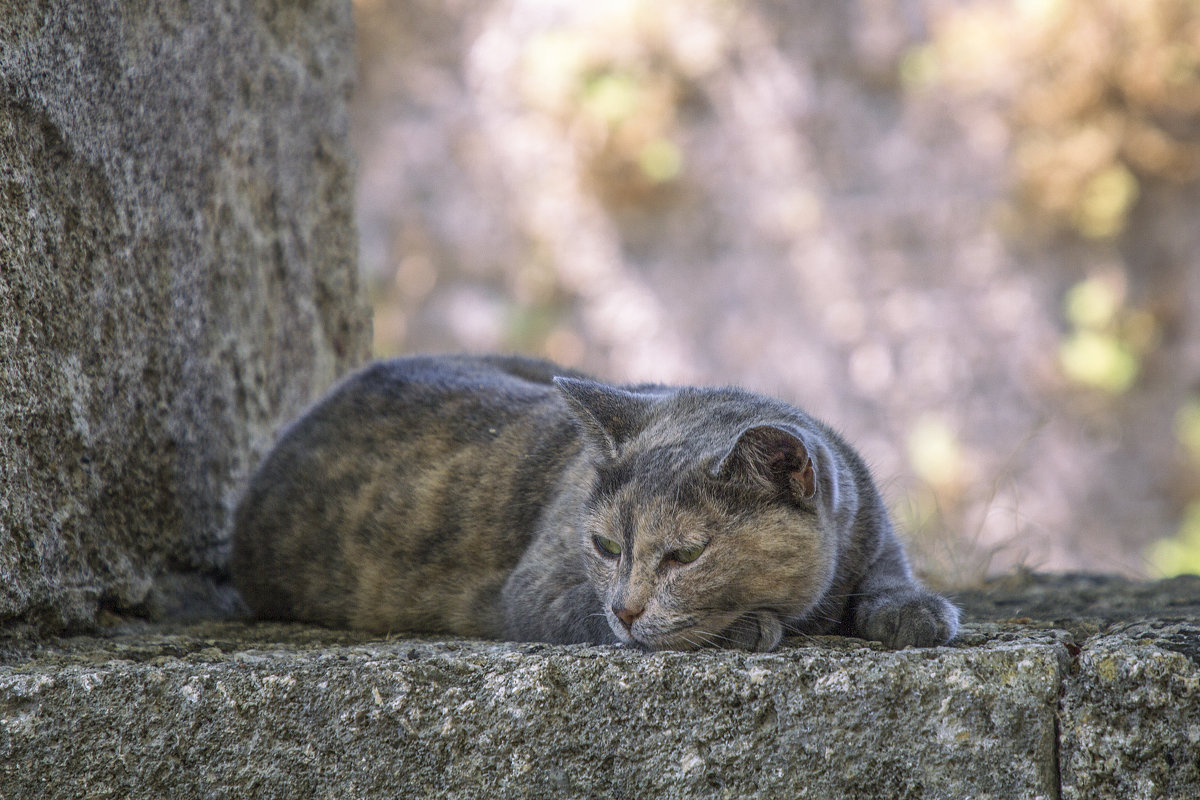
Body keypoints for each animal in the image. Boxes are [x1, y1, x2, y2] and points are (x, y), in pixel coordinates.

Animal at [231, 355, 955, 652]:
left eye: (686, 554)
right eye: (605, 546)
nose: (627, 610)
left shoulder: (868, 521)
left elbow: (888, 569)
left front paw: (913, 611)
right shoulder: (538, 587)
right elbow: (580, 608)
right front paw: (746, 626)